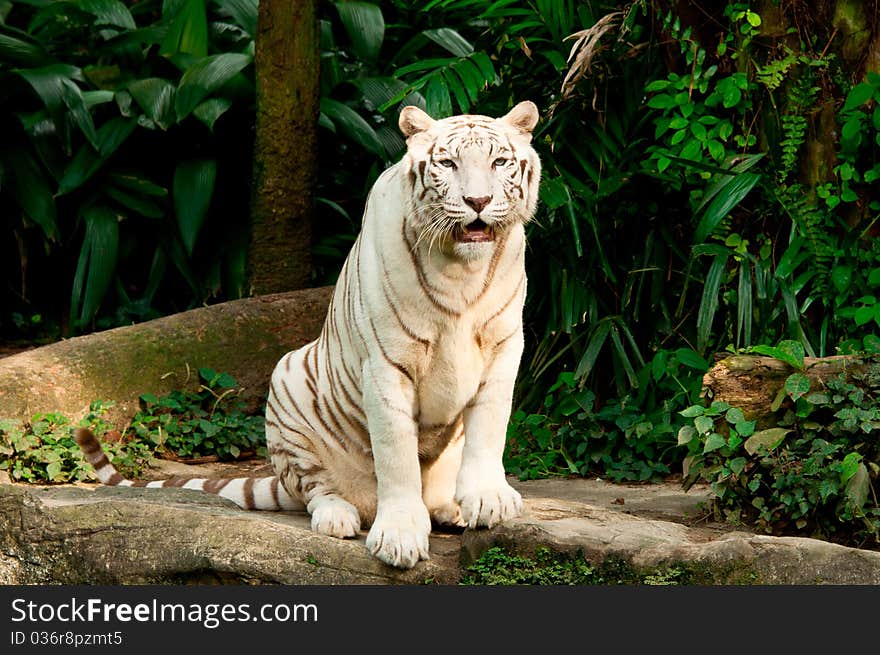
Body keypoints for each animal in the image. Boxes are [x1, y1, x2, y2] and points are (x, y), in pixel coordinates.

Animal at [75, 101, 540, 568]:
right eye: (448, 164)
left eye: (499, 162)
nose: (477, 201)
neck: (462, 270)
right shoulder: (386, 363)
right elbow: (396, 457)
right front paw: (400, 537)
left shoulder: (503, 349)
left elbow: (489, 429)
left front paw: (487, 500)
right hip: (287, 386)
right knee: (317, 489)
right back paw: (339, 516)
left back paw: (450, 508)